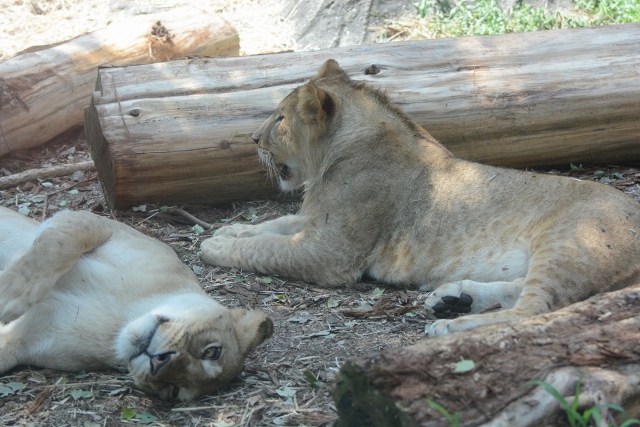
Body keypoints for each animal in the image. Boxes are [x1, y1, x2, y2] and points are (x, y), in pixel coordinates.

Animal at [0, 207, 272, 402]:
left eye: (173, 391)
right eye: (212, 351)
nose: (158, 361)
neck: (123, 315)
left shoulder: (23, 340)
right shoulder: (93, 222)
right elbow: (58, 246)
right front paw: (9, 296)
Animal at [202, 58, 640, 336]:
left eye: (279, 118)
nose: (253, 138)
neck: (334, 156)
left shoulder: (331, 253)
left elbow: (268, 248)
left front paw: (215, 247)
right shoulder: (315, 221)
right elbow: (270, 227)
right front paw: (226, 232)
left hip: (569, 240)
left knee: (536, 310)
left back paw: (452, 325)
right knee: (522, 293)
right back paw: (454, 298)